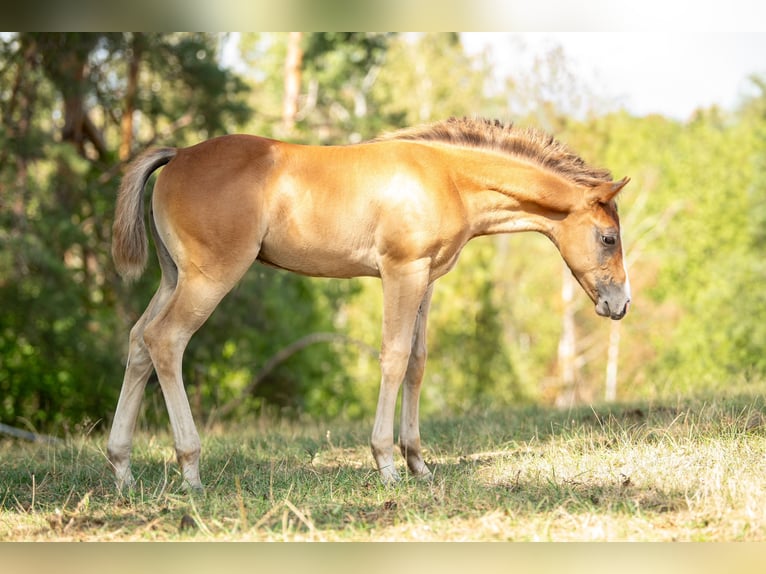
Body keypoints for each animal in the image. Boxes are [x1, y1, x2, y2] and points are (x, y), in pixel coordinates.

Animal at [108, 117, 630, 490]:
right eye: (608, 238)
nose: (620, 304)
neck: (447, 177)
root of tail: (179, 155)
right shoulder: (402, 272)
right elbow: (394, 358)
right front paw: (386, 463)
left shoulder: (426, 280)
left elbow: (417, 362)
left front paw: (418, 462)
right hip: (210, 278)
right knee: (166, 340)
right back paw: (190, 469)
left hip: (174, 278)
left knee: (138, 341)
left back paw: (122, 468)